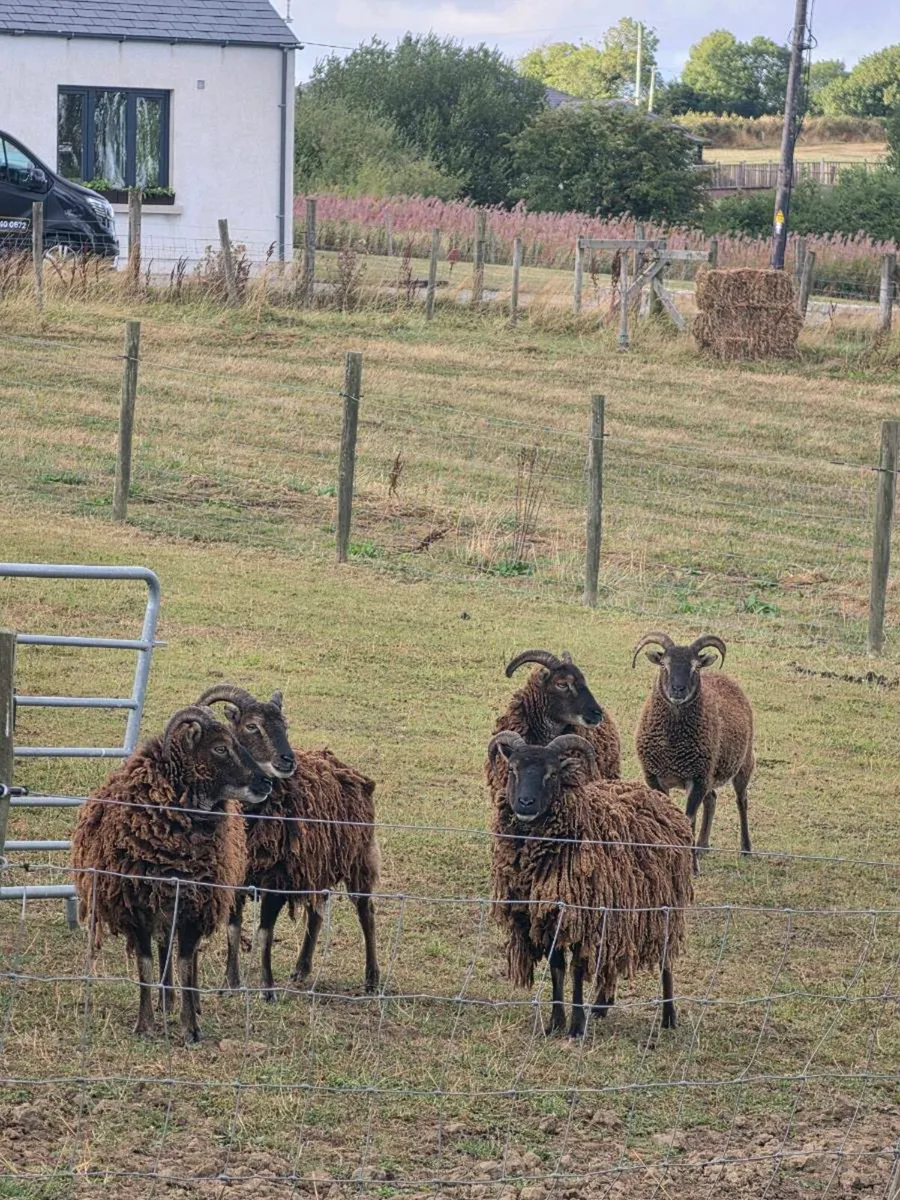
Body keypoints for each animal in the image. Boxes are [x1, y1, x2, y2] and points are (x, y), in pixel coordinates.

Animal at [71, 705, 271, 1043]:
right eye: (220, 748)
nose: (265, 783)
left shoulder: (193, 906)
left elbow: (186, 964)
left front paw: (191, 1027)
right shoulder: (137, 907)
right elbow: (146, 966)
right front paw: (145, 1024)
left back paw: (190, 1003)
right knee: (164, 947)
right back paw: (166, 1000)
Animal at [197, 684, 380, 1001]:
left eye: (284, 725)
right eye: (252, 726)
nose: (287, 761)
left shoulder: (278, 880)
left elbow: (264, 934)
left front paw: (268, 990)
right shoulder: (236, 877)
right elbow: (233, 929)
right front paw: (229, 984)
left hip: (358, 858)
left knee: (365, 911)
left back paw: (371, 979)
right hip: (315, 866)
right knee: (316, 913)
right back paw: (301, 969)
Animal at [488, 731, 694, 1037]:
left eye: (552, 774)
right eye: (512, 769)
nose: (525, 803)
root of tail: (657, 796)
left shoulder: (582, 919)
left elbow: (575, 969)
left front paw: (575, 1027)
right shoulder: (548, 916)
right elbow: (557, 968)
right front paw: (555, 1022)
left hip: (663, 907)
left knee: (666, 960)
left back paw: (669, 1016)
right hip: (621, 913)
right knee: (614, 956)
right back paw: (601, 1005)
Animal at [632, 632, 755, 870]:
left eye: (695, 667)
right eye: (664, 664)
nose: (678, 690)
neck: (672, 747)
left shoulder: (696, 779)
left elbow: (688, 819)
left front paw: (692, 868)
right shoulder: (655, 777)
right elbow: (669, 815)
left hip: (743, 764)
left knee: (742, 801)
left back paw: (746, 849)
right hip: (710, 774)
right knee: (712, 799)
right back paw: (703, 846)